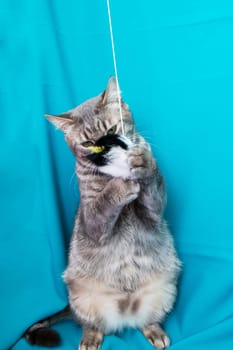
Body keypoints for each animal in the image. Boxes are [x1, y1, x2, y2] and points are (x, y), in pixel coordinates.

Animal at [24, 77, 180, 350]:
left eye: (112, 131)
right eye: (88, 144)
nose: (106, 151)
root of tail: (125, 316)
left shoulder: (153, 214)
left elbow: (152, 183)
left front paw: (141, 162)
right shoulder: (94, 224)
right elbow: (106, 200)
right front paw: (119, 183)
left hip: (165, 292)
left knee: (146, 322)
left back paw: (156, 332)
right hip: (82, 300)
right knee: (92, 324)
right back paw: (90, 338)